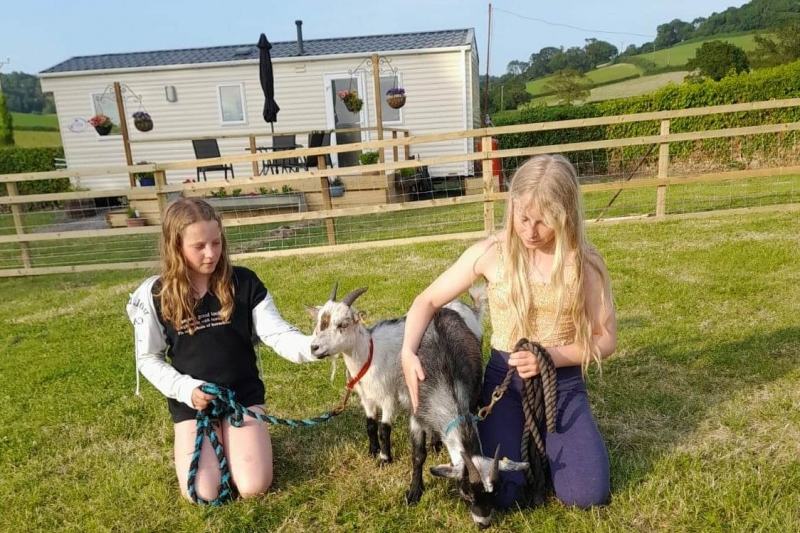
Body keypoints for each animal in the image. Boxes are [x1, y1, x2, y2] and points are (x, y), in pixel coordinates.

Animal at [306, 284, 524, 524]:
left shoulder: (388, 397)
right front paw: (375, 453)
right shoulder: (368, 397)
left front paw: (385, 459)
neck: (370, 354)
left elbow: (384, 429)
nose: (314, 348)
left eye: (343, 324)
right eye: (318, 322)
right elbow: (371, 426)